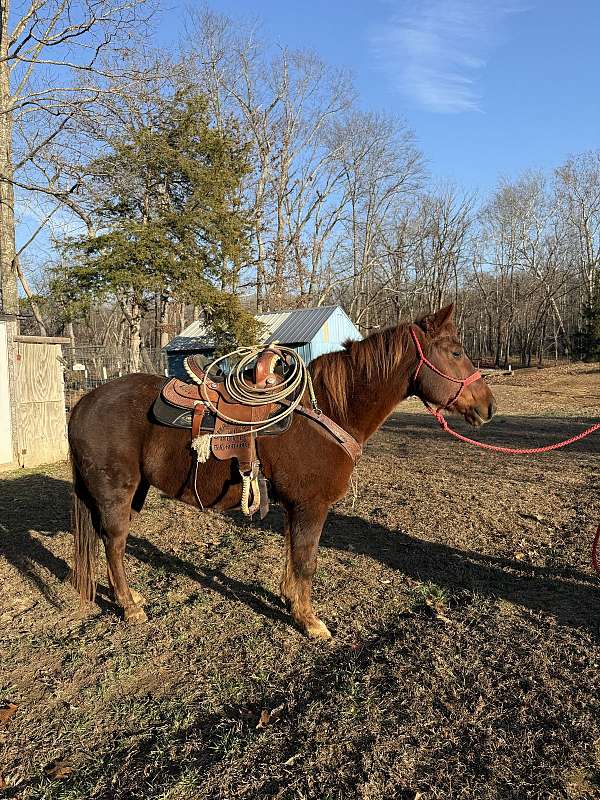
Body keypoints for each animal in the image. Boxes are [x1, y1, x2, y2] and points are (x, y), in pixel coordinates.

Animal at [69, 303, 496, 639]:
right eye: (456, 352)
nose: (488, 406)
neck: (328, 411)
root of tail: (85, 402)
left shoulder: (295, 505)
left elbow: (293, 555)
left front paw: (290, 601)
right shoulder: (311, 505)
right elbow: (306, 560)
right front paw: (310, 622)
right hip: (117, 492)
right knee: (115, 542)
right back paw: (130, 606)